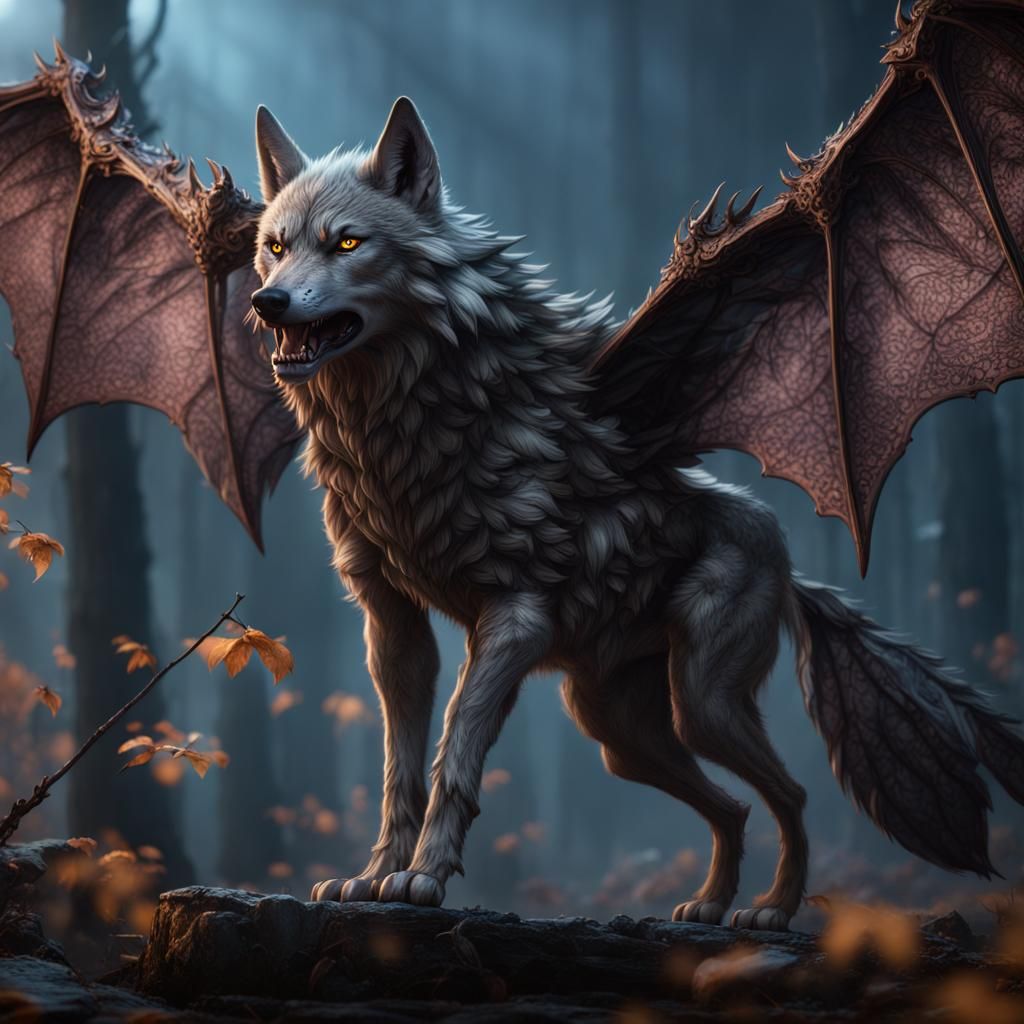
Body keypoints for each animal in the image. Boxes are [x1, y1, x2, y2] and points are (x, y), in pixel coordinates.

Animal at [248, 96, 1024, 931]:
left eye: (347, 242)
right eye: (274, 247)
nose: (267, 303)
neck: (405, 428)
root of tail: (792, 572)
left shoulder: (515, 617)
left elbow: (456, 749)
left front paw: (422, 878)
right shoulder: (391, 621)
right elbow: (401, 765)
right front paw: (373, 876)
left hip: (703, 704)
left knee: (790, 792)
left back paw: (772, 911)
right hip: (619, 731)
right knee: (733, 807)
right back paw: (710, 904)